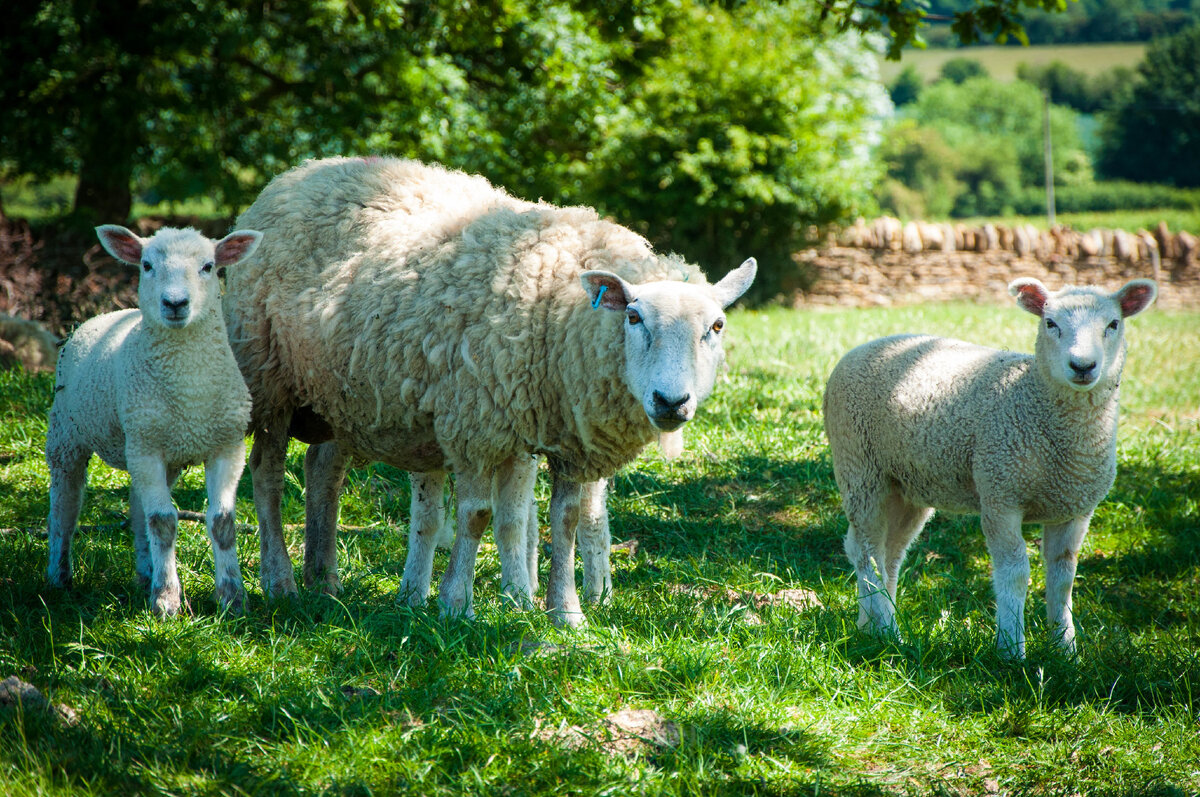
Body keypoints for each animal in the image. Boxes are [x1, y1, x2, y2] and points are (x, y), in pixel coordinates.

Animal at [48, 224, 262, 614]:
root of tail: (105, 315)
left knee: (137, 510)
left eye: (209, 266)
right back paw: (59, 577)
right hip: (68, 434)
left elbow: (222, 521)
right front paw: (167, 601)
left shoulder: (226, 444)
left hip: (155, 449)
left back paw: (145, 572)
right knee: (65, 508)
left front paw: (232, 597)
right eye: (147, 265)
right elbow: (164, 522)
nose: (175, 303)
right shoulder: (147, 449)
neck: (190, 390)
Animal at [220, 156, 753, 624]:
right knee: (266, 477)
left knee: (322, 472)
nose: (671, 402)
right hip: (268, 380)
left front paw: (565, 613)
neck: (556, 305)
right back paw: (279, 581)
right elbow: (476, 516)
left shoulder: (562, 436)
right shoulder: (474, 426)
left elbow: (564, 521)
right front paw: (457, 604)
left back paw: (323, 579)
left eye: (717, 326)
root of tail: (305, 171)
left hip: (336, 397)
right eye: (635, 317)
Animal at [825, 277, 1152, 657]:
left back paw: (872, 628)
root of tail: (864, 347)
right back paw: (889, 631)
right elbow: (1014, 572)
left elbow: (1063, 577)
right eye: (1050, 323)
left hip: (905, 485)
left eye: (1113, 324)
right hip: (859, 468)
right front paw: (1011, 648)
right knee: (868, 555)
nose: (1082, 366)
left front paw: (1065, 650)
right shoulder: (1000, 495)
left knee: (886, 552)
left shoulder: (1075, 508)